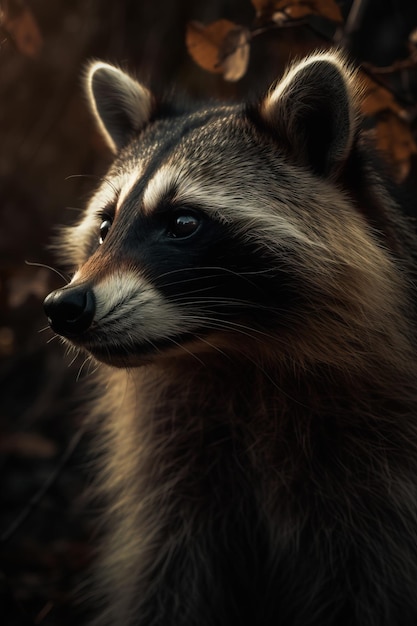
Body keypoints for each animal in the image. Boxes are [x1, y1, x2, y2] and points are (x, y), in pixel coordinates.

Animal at [43, 54, 417, 624]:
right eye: (106, 227)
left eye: (183, 222)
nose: (65, 306)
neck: (234, 358)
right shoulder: (175, 470)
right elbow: (165, 574)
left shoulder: (376, 476)